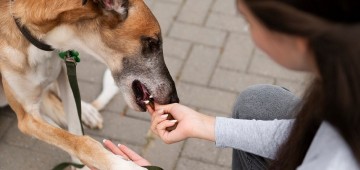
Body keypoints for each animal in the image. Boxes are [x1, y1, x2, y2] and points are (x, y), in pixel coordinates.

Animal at [0, 0, 179, 169]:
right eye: (152, 42)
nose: (174, 99)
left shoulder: (64, 72)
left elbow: (75, 128)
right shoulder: (26, 117)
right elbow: (80, 141)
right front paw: (123, 165)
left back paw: (87, 112)